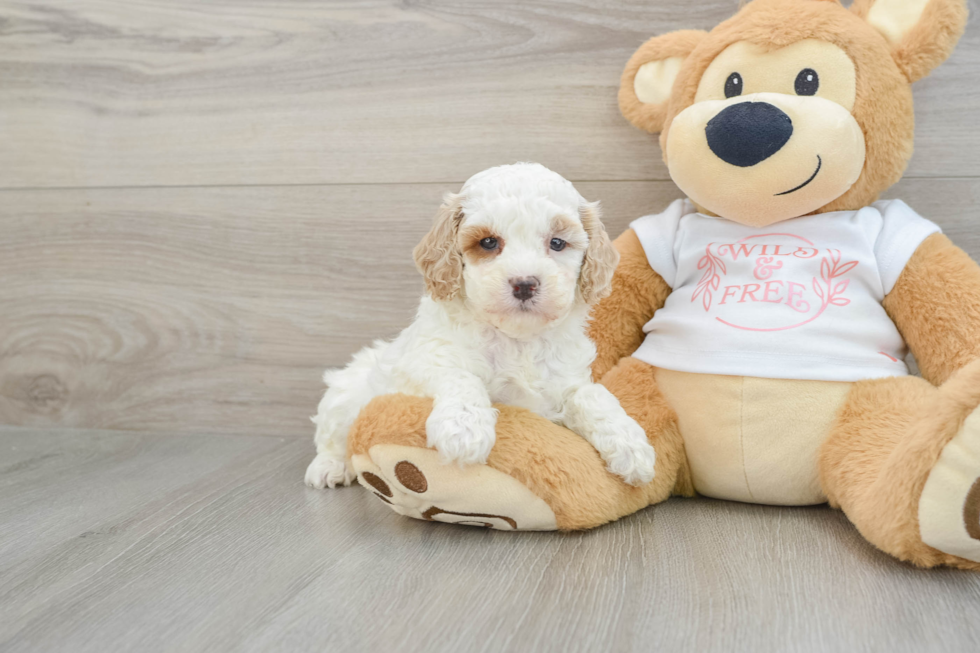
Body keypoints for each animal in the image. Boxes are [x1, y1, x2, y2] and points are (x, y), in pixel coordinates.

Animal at [304, 163, 660, 488]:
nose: (524, 283)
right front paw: (463, 430)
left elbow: (594, 395)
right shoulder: (423, 362)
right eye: (488, 243)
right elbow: (462, 376)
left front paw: (631, 445)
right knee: (332, 437)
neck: (516, 339)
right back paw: (328, 468)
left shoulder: (566, 383)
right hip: (344, 395)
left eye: (558, 243)